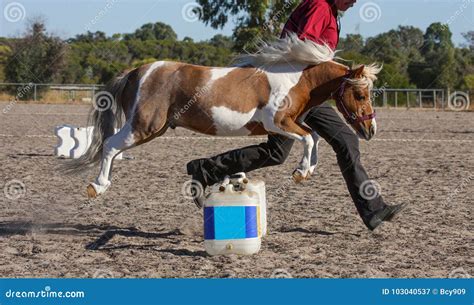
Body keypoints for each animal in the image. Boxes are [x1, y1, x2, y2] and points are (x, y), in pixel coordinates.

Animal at [65, 34, 382, 198]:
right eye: (361, 95)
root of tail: (135, 71)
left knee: (113, 147)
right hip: (144, 126)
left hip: (150, 128)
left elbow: (313, 137)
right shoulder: (277, 122)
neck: (295, 78)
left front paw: (305, 171)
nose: (370, 130)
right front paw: (302, 171)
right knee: (110, 145)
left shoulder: (287, 124)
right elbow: (308, 139)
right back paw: (98, 186)